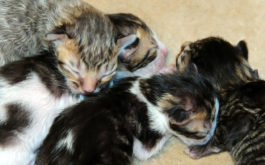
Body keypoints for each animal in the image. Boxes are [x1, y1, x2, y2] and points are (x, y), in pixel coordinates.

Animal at [174, 37, 262, 165]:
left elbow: (219, 139)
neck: (237, 81)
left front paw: (199, 149)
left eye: (182, 54)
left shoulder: (241, 117)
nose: (182, 45)